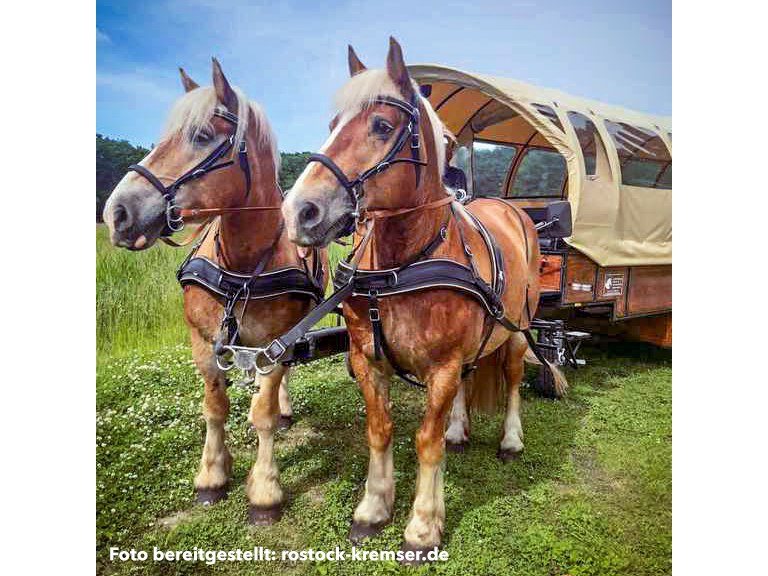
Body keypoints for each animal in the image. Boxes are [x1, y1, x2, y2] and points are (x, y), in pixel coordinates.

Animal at [282, 37, 564, 560]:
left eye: (381, 125)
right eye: (333, 125)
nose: (300, 211)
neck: (403, 263)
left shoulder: (443, 366)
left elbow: (425, 440)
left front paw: (422, 525)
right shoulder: (369, 359)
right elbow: (380, 430)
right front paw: (374, 507)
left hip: (517, 329)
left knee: (514, 379)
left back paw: (511, 439)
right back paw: (459, 428)